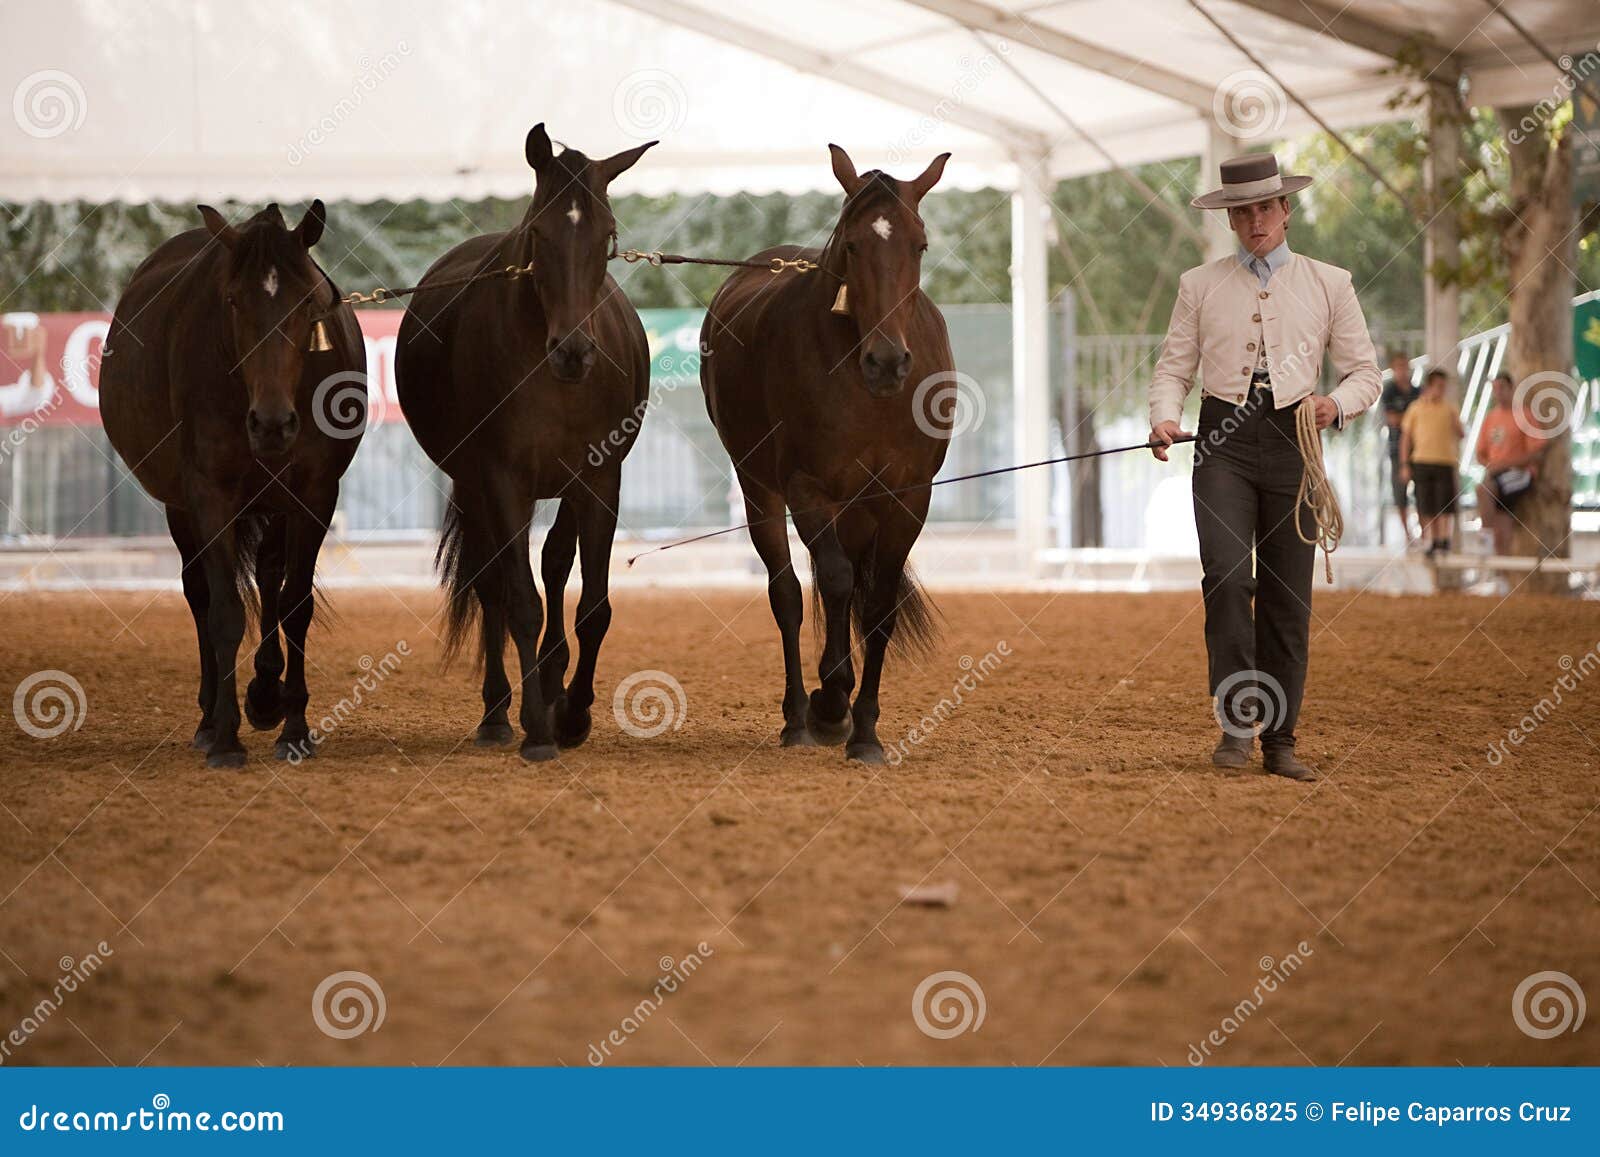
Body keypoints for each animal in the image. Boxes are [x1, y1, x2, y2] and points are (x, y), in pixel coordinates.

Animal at [100, 201, 366, 768]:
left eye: (307, 300)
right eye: (232, 300)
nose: (271, 424)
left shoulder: (314, 496)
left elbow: (295, 605)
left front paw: (292, 726)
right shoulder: (210, 495)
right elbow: (223, 611)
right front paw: (225, 736)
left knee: (269, 579)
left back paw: (266, 693)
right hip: (181, 509)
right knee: (199, 592)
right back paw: (209, 718)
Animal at [394, 124, 654, 762]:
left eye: (608, 235)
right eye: (539, 232)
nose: (574, 351)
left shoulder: (599, 478)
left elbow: (592, 605)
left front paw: (573, 713)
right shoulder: (501, 480)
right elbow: (520, 601)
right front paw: (538, 727)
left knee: (555, 564)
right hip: (474, 486)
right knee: (492, 584)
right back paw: (497, 714)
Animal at [700, 145, 955, 764]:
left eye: (920, 244)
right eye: (854, 244)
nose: (887, 362)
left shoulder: (909, 495)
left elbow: (878, 602)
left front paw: (865, 730)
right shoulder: (807, 488)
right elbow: (833, 583)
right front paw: (832, 700)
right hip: (760, 490)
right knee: (789, 593)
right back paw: (799, 714)